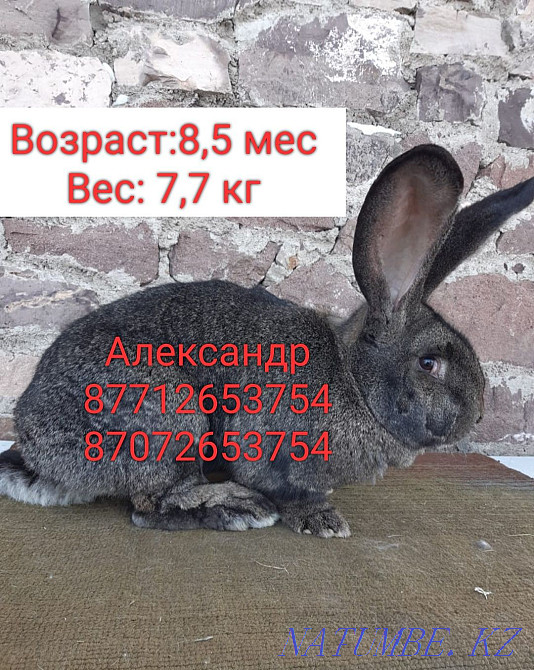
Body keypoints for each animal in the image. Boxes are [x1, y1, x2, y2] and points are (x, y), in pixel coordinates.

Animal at [1, 144, 533, 538]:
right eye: (428, 363)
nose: (478, 416)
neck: (353, 383)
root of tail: (36, 447)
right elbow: (285, 489)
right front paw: (320, 519)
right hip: (168, 413)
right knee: (151, 504)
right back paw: (237, 509)